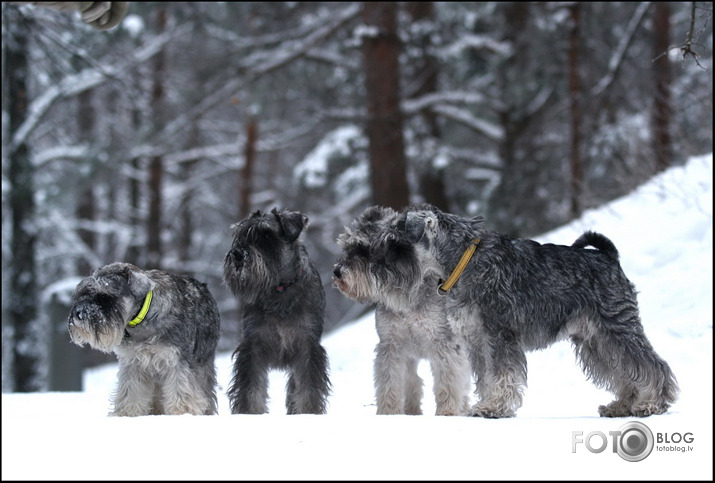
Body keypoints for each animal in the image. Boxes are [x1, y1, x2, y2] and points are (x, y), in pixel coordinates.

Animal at [70, 262, 222, 418]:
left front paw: (183, 412)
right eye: (84, 292)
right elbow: (130, 391)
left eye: (106, 296)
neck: (143, 318)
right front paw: (127, 413)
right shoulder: (132, 363)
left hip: (203, 362)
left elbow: (181, 389)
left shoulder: (177, 360)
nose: (79, 314)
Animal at [222, 209, 332, 416]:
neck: (279, 289)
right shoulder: (253, 348)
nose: (238, 254)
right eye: (239, 235)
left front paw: (308, 413)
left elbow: (308, 392)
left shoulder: (307, 348)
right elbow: (250, 391)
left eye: (267, 236)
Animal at [334, 205, 472, 416]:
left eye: (363, 248)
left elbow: (447, 381)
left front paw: (447, 413)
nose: (337, 271)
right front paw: (388, 413)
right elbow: (390, 383)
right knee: (412, 381)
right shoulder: (391, 344)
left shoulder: (443, 344)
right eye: (347, 247)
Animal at [398, 204, 684, 420]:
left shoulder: (500, 335)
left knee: (651, 365)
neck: (463, 259)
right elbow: (488, 377)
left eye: (394, 241)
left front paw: (494, 407)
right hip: (596, 341)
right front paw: (489, 404)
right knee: (622, 370)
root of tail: (609, 257)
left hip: (618, 329)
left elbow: (503, 373)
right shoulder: (478, 341)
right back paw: (623, 405)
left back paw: (652, 403)